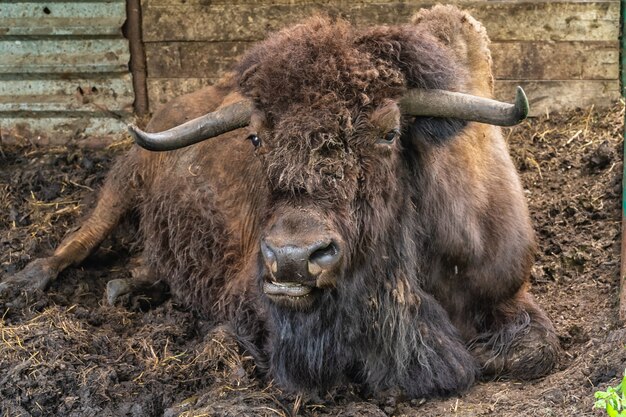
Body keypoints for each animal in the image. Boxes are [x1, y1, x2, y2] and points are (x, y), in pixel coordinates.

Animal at [1, 4, 556, 398]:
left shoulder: (508, 289)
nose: (293, 258)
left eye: (389, 133)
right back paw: (26, 283)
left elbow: (525, 354)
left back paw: (126, 286)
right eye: (255, 138)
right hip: (123, 181)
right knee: (78, 238)